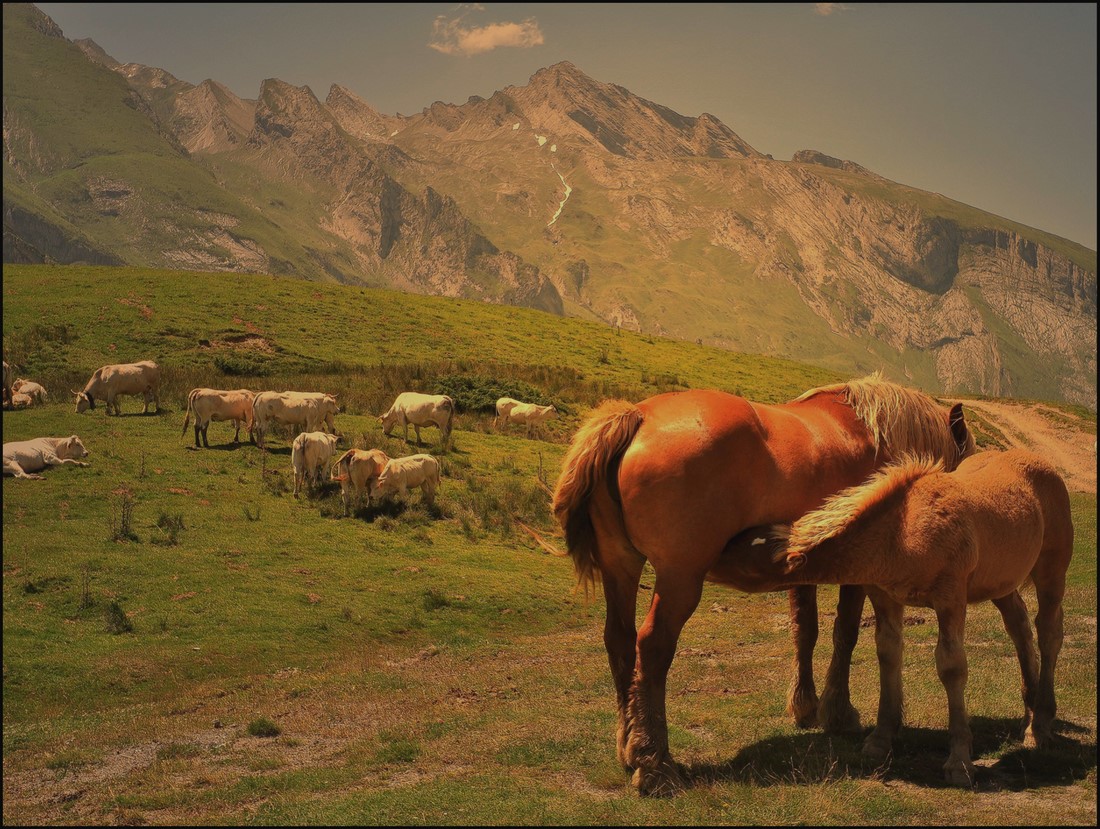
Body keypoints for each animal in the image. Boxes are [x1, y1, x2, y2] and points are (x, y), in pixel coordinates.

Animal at [554, 373, 976, 796]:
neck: (871, 433)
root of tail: (639, 416)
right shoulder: (856, 574)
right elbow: (845, 634)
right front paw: (838, 712)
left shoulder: (805, 569)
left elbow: (806, 631)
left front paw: (806, 707)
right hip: (679, 578)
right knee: (653, 647)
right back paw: (654, 764)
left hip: (621, 568)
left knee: (620, 641)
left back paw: (629, 747)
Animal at [721, 448, 1073, 782]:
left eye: (743, 557)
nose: (715, 555)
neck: (903, 530)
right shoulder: (885, 598)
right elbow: (888, 654)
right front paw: (880, 740)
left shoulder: (951, 599)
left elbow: (952, 667)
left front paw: (959, 762)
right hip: (1001, 582)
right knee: (1019, 626)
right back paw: (1029, 711)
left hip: (1052, 571)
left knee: (1049, 632)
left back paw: (1039, 725)